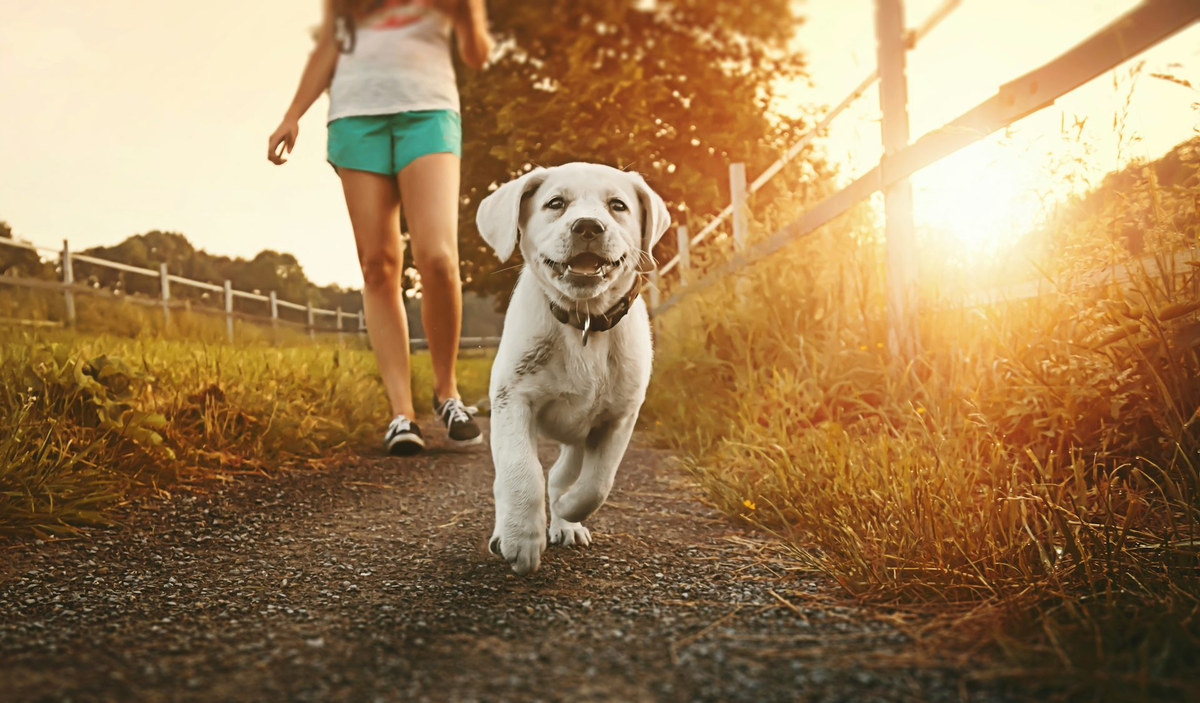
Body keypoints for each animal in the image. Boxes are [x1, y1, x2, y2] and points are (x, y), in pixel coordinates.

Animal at [475, 161, 667, 571]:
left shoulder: (619, 418)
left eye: (617, 205)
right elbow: (521, 470)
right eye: (556, 203)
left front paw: (567, 511)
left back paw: (566, 524)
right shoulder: (511, 400)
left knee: (565, 473)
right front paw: (522, 537)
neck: (584, 322)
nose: (588, 226)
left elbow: (597, 482)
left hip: (579, 436)